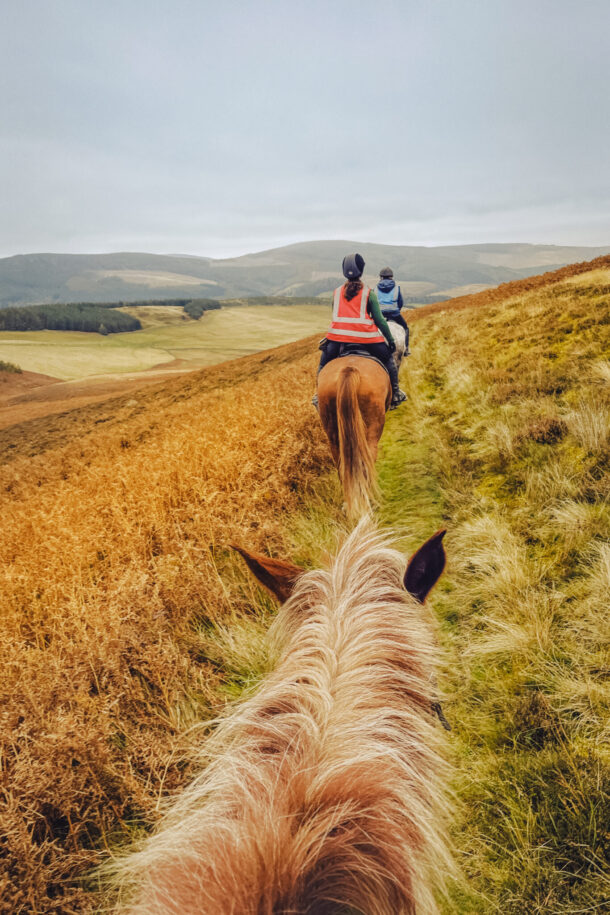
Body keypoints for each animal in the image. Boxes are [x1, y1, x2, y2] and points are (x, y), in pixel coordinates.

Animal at [317, 322, 407, 519]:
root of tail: (349, 370)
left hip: (333, 431)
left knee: (341, 463)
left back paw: (349, 504)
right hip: (372, 430)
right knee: (368, 459)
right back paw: (369, 501)